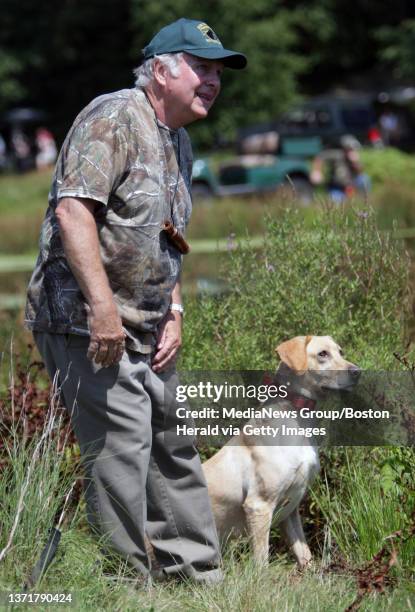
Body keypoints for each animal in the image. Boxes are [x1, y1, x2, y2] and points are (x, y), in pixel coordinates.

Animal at [204, 334, 360, 568]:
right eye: (322, 354)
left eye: (341, 352)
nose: (358, 372)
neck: (299, 420)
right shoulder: (258, 505)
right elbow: (262, 562)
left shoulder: (291, 509)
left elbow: (304, 552)